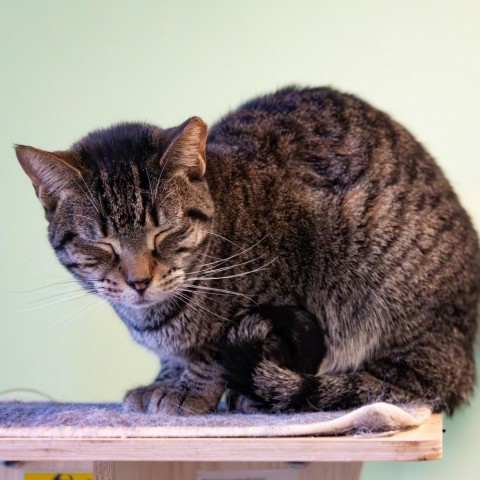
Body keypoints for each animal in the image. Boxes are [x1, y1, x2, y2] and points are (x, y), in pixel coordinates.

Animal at [15, 87, 480, 416]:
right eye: (102, 243)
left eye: (163, 231)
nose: (139, 281)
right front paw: (166, 382)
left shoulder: (286, 287)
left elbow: (214, 352)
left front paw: (192, 391)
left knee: (408, 388)